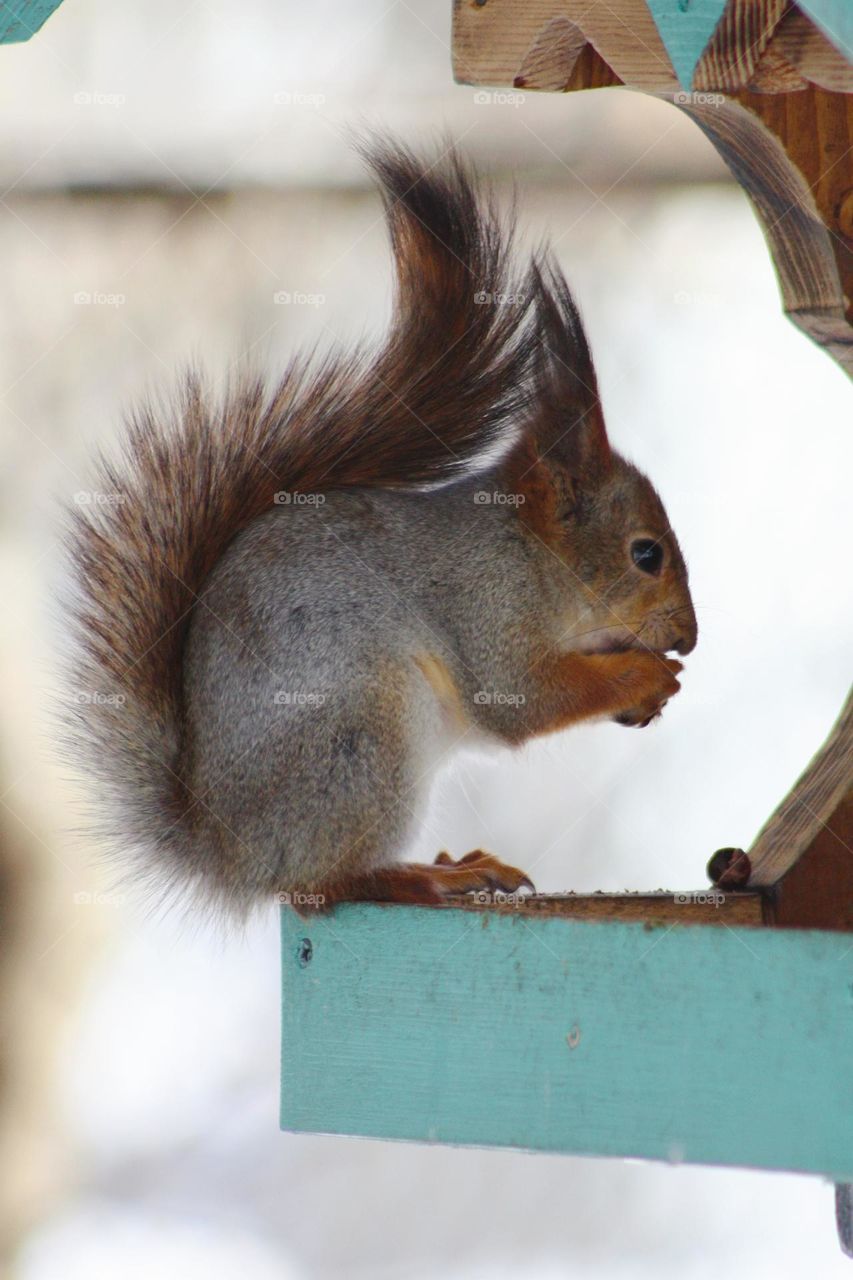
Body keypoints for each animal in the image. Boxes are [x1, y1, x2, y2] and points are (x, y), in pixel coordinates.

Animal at [63, 137, 696, 917]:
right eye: (646, 554)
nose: (688, 639)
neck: (533, 556)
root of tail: (228, 853)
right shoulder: (489, 608)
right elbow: (524, 696)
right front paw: (646, 677)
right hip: (362, 740)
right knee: (323, 883)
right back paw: (427, 876)